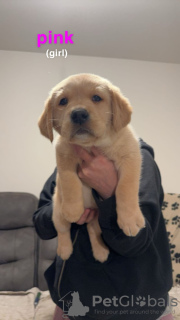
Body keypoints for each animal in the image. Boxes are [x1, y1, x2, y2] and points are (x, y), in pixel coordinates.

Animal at [38, 73, 145, 262]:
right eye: (63, 101)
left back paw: (101, 252)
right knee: (63, 230)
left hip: (97, 218)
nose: (79, 114)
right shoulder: (63, 155)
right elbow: (69, 181)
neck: (92, 144)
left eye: (96, 98)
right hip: (57, 212)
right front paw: (73, 209)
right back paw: (64, 250)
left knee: (93, 230)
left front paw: (130, 219)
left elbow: (126, 187)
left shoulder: (131, 156)